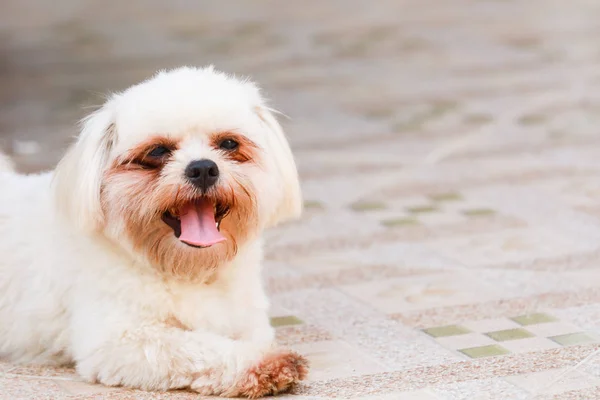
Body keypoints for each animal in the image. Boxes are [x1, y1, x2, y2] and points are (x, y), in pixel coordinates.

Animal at [0, 66, 310, 396]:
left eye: (228, 144)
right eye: (158, 150)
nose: (203, 168)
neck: (188, 269)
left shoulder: (249, 319)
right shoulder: (123, 340)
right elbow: (199, 347)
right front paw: (260, 363)